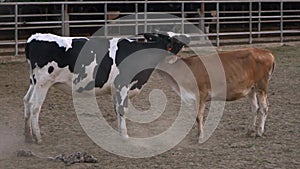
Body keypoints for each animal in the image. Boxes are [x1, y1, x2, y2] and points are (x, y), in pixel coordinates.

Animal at [24, 32, 190, 143]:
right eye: (173, 39)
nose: (188, 36)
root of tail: (33, 38)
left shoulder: (115, 89)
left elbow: (117, 109)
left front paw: (119, 133)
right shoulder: (122, 85)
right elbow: (123, 109)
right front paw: (125, 136)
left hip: (33, 82)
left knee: (26, 101)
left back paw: (28, 135)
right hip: (43, 83)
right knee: (35, 106)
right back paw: (37, 137)